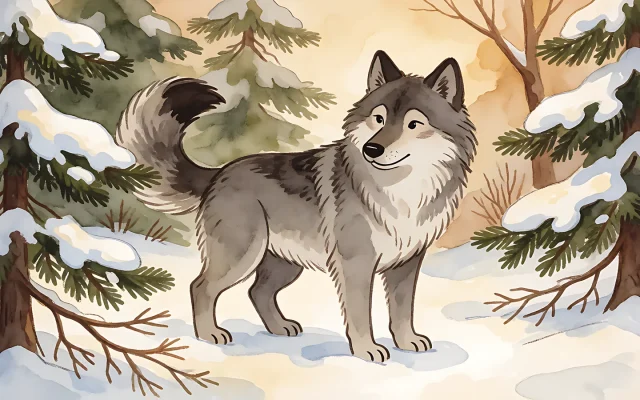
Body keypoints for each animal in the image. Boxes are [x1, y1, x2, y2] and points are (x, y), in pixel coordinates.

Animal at [116, 51, 477, 362]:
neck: (401, 192)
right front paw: (366, 352)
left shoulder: (406, 263)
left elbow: (402, 311)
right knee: (200, 287)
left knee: (257, 292)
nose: (372, 149)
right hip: (242, 255)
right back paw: (209, 336)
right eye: (378, 119)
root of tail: (220, 171)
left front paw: (406, 342)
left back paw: (279, 328)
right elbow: (361, 315)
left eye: (414, 124)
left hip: (283, 264)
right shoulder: (356, 265)